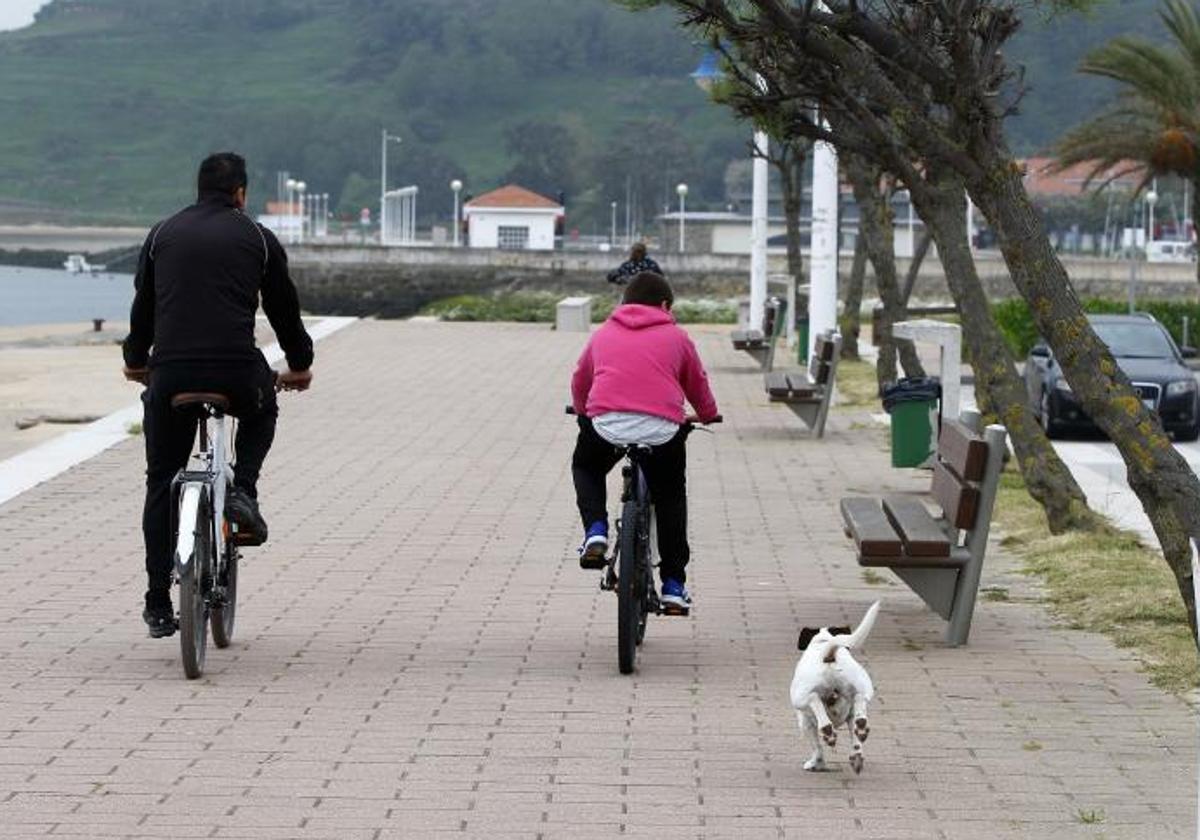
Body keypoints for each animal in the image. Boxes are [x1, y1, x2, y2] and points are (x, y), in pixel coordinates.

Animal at [792, 600, 878, 772]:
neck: (822, 642)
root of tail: (829, 655)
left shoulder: (806, 723)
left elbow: (816, 747)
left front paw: (816, 763)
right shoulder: (850, 716)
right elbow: (854, 737)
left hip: (800, 697)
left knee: (814, 700)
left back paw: (828, 732)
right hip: (863, 686)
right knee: (859, 702)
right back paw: (860, 735)